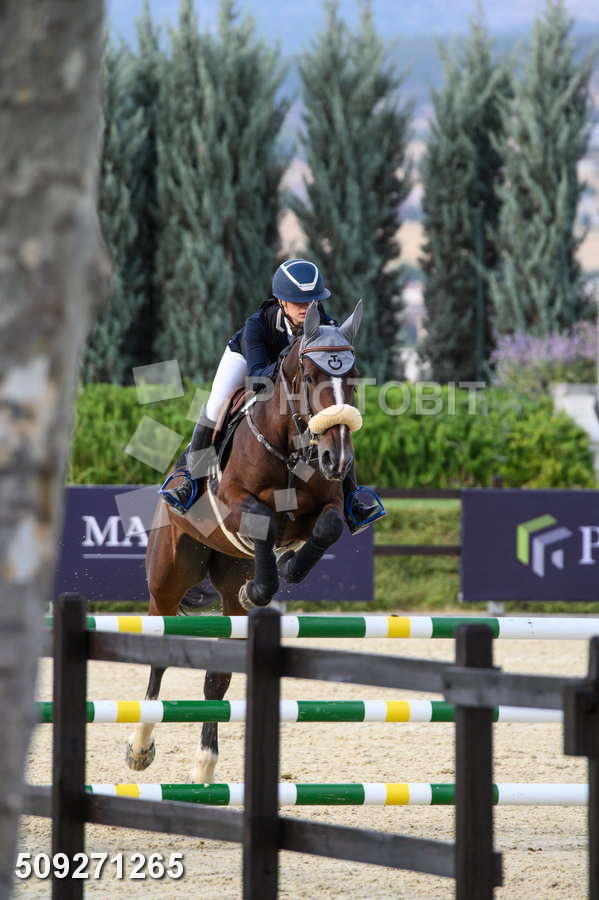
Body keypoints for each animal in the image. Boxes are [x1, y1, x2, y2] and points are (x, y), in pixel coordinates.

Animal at [126, 299, 364, 783]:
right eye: (309, 375)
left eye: (351, 377)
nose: (338, 459)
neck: (291, 445)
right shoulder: (236, 503)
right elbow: (264, 523)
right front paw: (262, 586)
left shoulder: (326, 505)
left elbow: (327, 526)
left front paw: (282, 570)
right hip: (167, 580)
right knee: (159, 653)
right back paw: (140, 747)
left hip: (227, 582)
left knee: (217, 678)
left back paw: (205, 764)